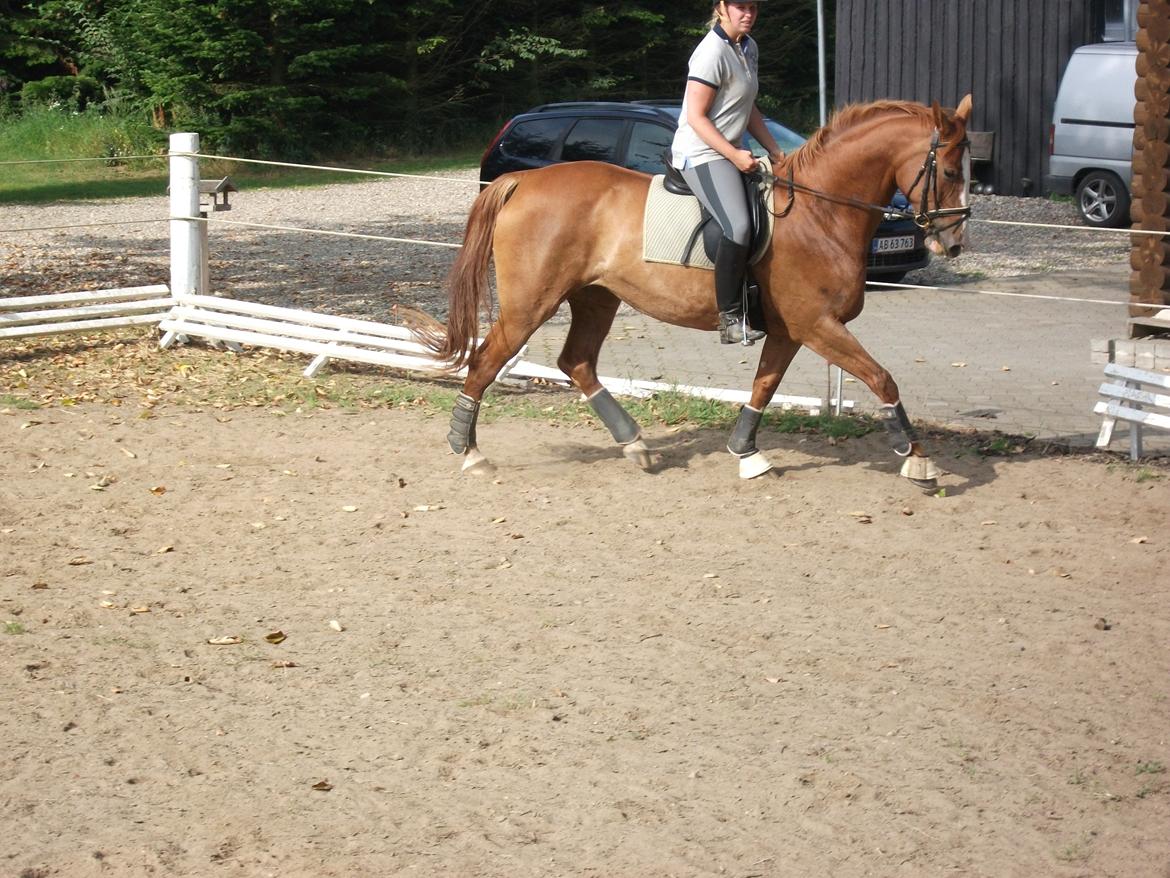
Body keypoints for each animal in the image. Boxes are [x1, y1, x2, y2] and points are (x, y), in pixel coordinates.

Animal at [425, 95, 973, 489]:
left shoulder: (791, 330)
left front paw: (746, 453)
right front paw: (918, 462)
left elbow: (764, 386)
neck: (820, 212)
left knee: (575, 361)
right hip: (530, 304)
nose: (954, 242)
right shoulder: (817, 325)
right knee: (486, 360)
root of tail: (523, 180)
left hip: (596, 297)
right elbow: (882, 379)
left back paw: (635, 445)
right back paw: (469, 453)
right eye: (949, 171)